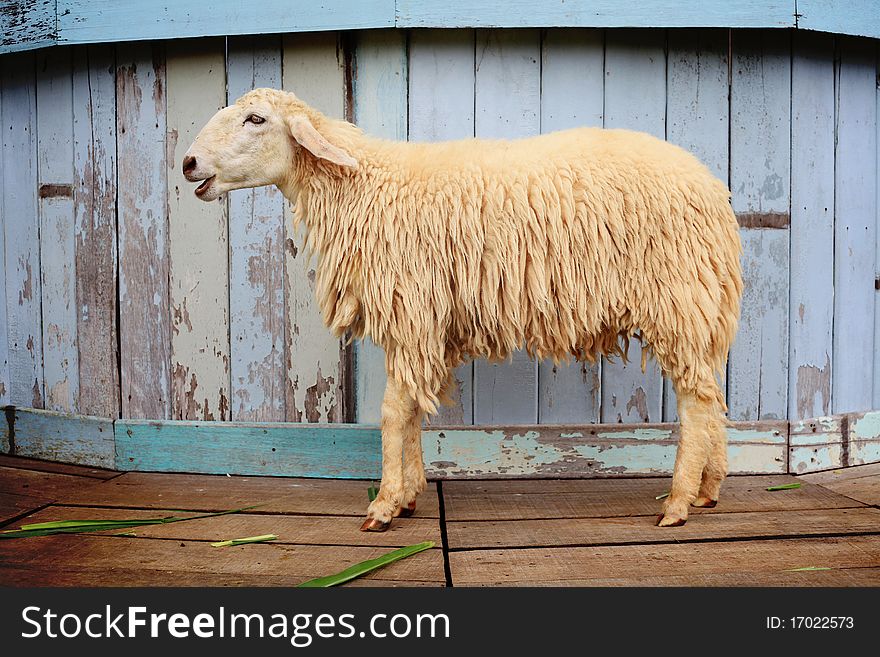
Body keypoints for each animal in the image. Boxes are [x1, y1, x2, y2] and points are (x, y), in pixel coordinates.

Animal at [184, 87, 744, 532]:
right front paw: (410, 496)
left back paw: (677, 505)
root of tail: (714, 190)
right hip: (701, 308)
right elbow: (412, 411)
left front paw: (384, 505)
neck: (364, 185)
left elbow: (393, 413)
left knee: (695, 404)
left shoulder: (412, 313)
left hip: (677, 299)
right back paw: (709, 490)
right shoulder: (423, 325)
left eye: (256, 119)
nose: (187, 164)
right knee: (712, 397)